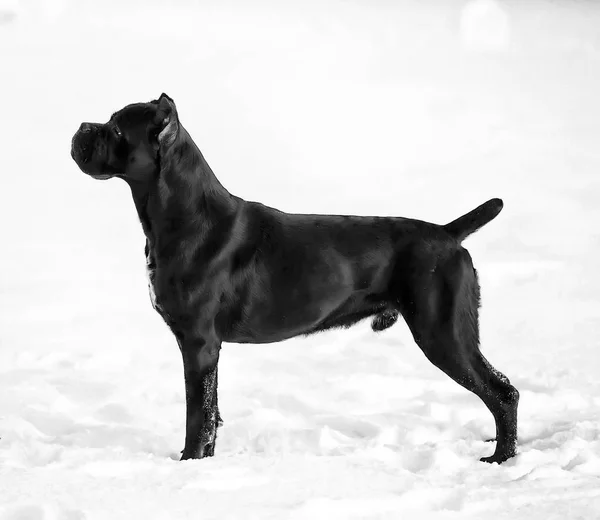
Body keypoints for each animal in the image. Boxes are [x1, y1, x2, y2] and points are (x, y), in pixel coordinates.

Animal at [71, 93, 520, 464]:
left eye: (116, 128)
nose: (81, 127)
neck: (184, 216)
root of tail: (448, 233)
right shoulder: (204, 348)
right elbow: (212, 411)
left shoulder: (198, 343)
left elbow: (198, 414)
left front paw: (190, 464)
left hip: (443, 334)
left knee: (502, 392)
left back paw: (500, 459)